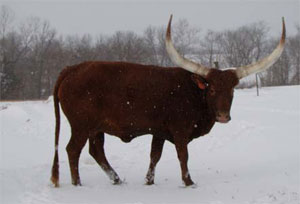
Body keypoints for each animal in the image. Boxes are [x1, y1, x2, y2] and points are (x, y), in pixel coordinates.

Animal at [50, 15, 284, 187]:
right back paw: (77, 183)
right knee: (73, 150)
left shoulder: (159, 132)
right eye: (212, 88)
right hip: (81, 125)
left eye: (232, 90)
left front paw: (149, 181)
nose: (223, 116)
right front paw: (189, 182)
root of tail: (72, 68)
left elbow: (155, 155)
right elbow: (183, 155)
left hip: (96, 128)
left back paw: (116, 179)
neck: (193, 92)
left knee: (96, 151)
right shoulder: (180, 131)